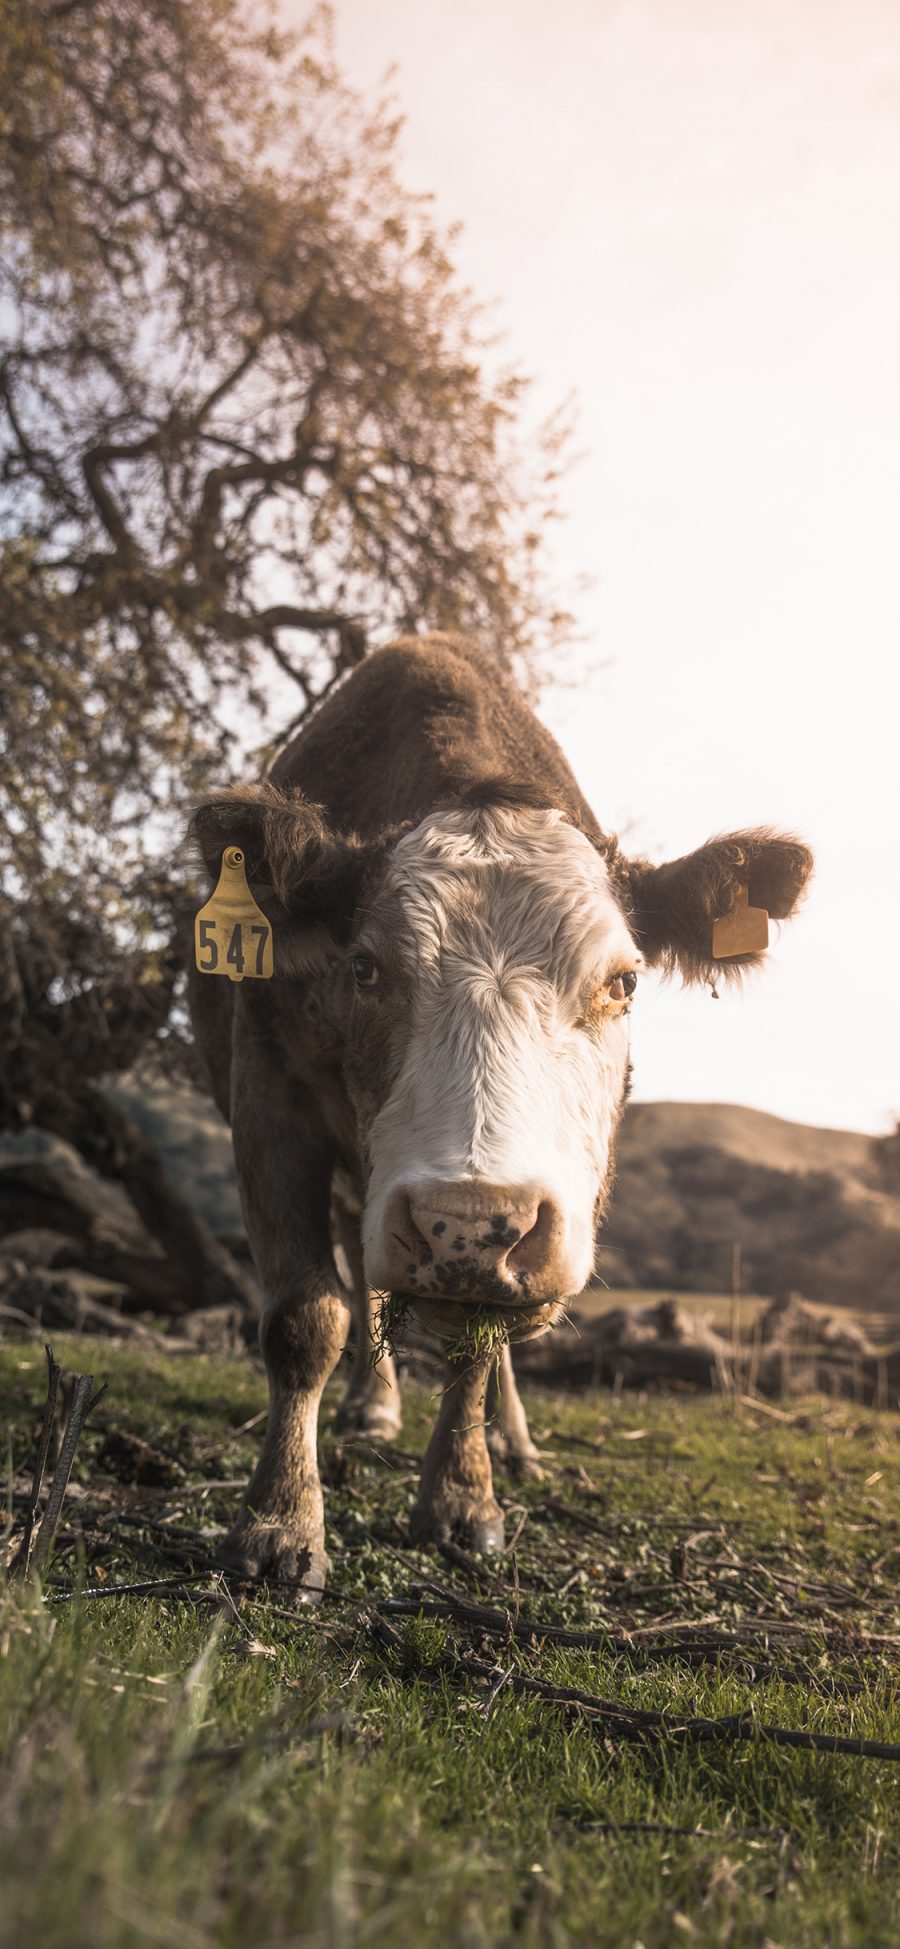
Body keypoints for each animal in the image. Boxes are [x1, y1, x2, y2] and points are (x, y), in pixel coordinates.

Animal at [186, 639, 810, 1598]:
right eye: (363, 966)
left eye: (624, 980)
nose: (471, 1220)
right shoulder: (267, 1085)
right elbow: (306, 1315)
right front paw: (280, 1521)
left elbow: (477, 1348)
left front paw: (463, 1494)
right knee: (364, 1276)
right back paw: (374, 1406)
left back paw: (511, 1443)